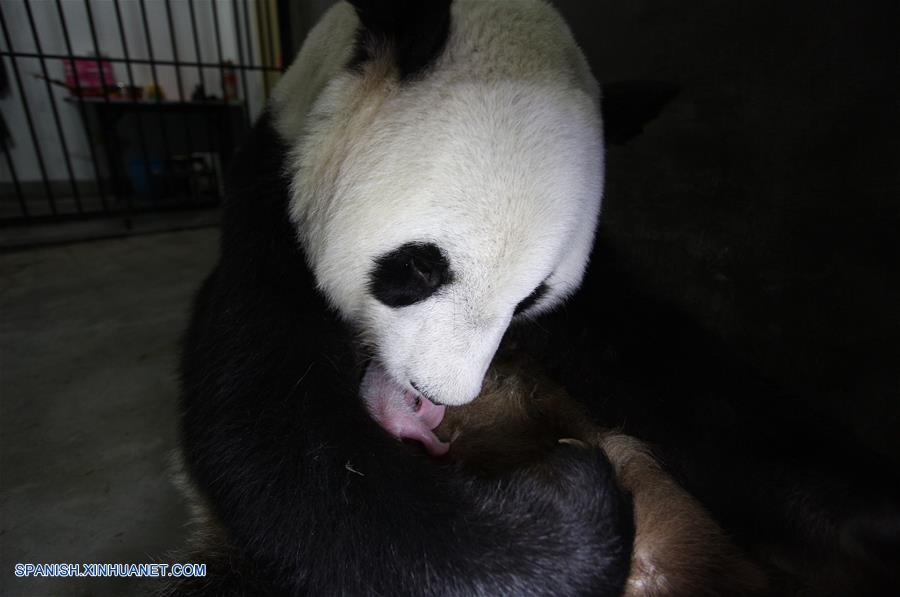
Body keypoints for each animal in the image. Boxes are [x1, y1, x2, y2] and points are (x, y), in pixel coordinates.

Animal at [175, 1, 636, 595]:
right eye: (421, 266)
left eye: (532, 297)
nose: (436, 393)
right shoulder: (270, 214)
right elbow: (273, 436)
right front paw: (568, 509)